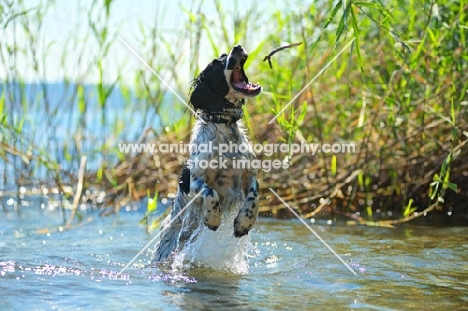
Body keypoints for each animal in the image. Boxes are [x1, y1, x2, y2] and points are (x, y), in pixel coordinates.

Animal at [154, 45, 262, 262]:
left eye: (225, 55)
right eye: (215, 64)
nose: (238, 47)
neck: (225, 128)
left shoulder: (249, 175)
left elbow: (254, 197)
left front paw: (243, 223)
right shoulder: (196, 181)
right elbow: (210, 192)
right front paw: (212, 219)